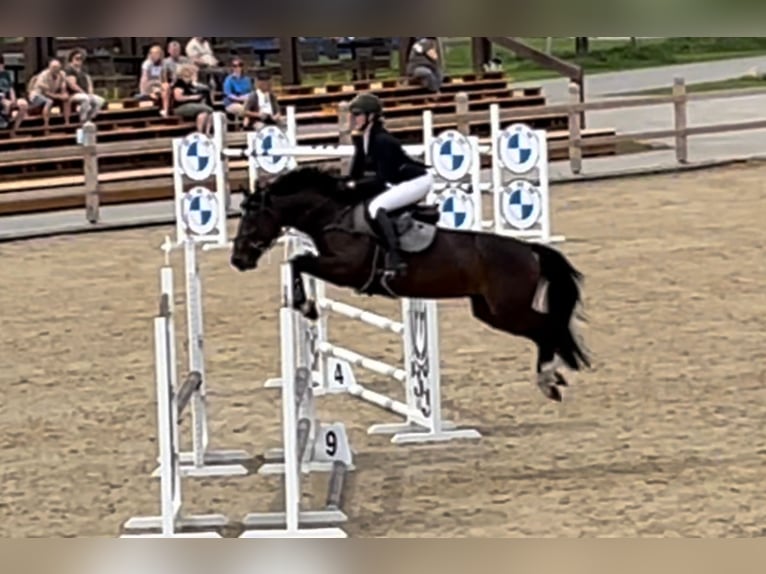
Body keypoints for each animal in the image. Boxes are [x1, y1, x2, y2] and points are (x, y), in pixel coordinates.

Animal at [230, 166, 590, 401]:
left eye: (251, 218)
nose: (238, 260)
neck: (334, 217)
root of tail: (529, 250)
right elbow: (298, 261)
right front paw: (305, 304)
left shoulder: (346, 269)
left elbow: (298, 261)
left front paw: (306, 306)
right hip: (490, 312)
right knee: (545, 328)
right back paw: (552, 376)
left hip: (508, 309)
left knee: (547, 327)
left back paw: (548, 377)